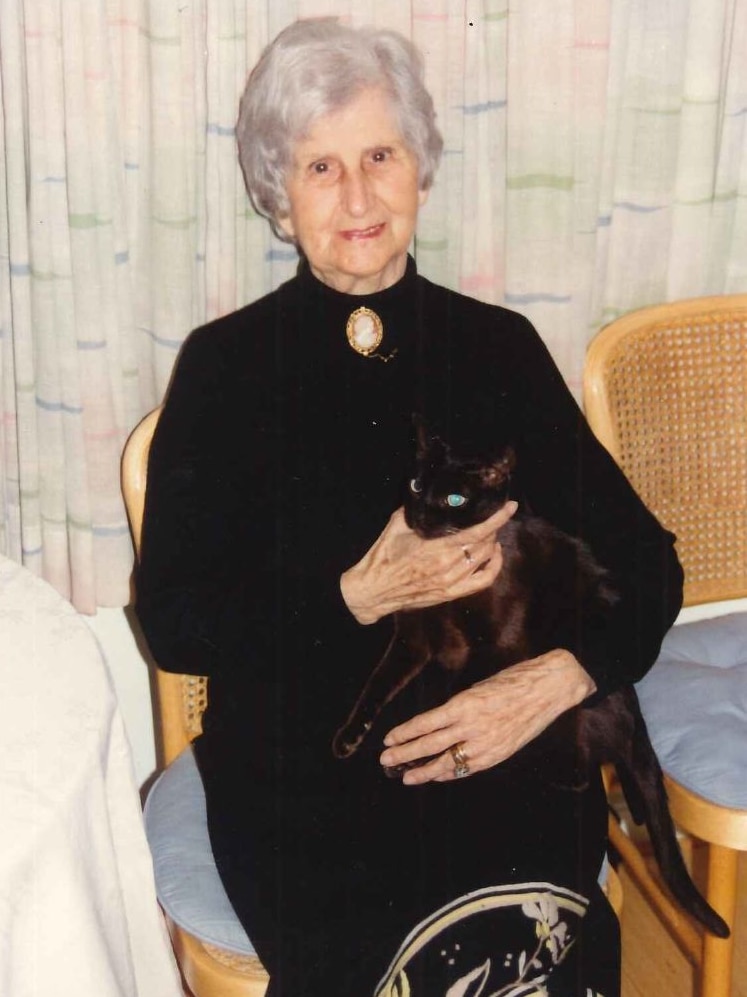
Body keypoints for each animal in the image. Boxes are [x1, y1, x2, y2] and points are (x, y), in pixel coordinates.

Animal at [334, 432, 732, 936]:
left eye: (455, 499)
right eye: (417, 484)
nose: (420, 514)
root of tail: (632, 710)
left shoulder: (494, 647)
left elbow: (456, 706)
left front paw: (420, 754)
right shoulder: (413, 638)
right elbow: (377, 684)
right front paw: (351, 737)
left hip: (556, 697)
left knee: (574, 773)